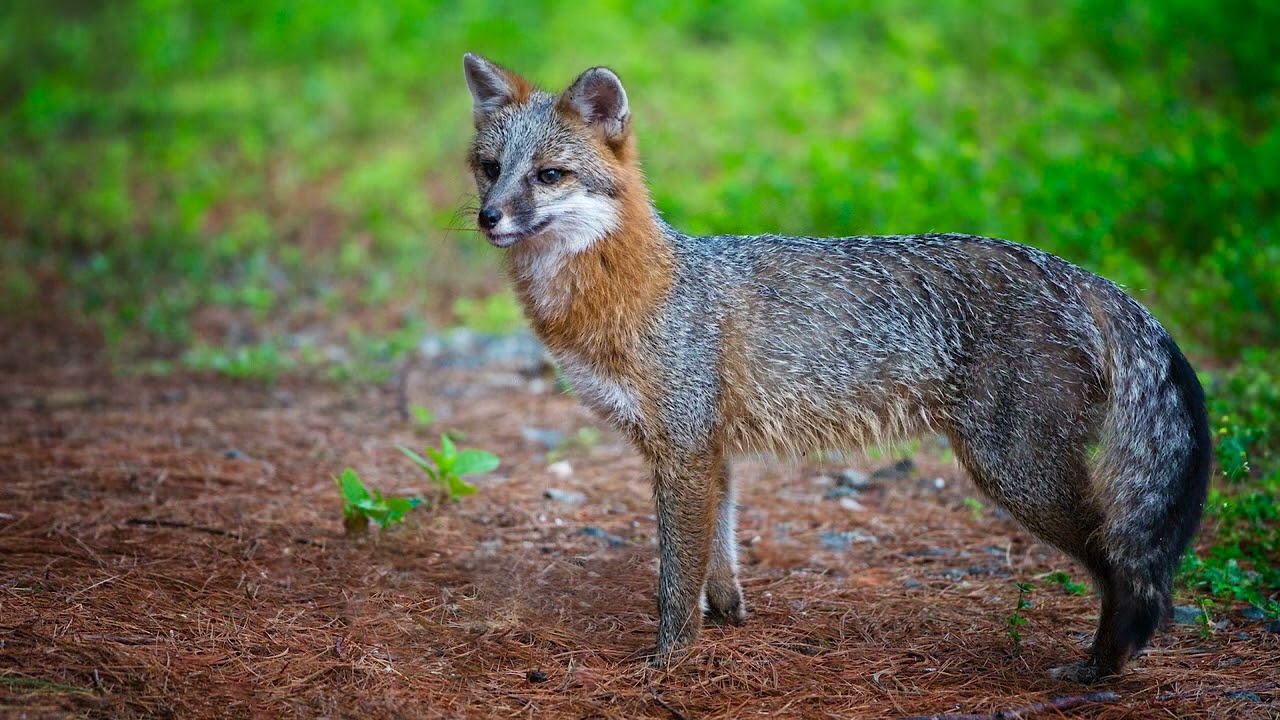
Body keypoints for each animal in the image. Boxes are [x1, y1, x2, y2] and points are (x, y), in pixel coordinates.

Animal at [460, 53, 1211, 683]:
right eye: (489, 167)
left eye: (548, 175)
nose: (488, 218)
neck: (641, 286)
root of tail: (1081, 274)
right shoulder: (711, 453)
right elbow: (718, 559)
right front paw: (729, 619)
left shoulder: (682, 452)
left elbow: (676, 579)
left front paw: (668, 663)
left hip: (1018, 475)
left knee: (1129, 571)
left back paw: (1100, 668)